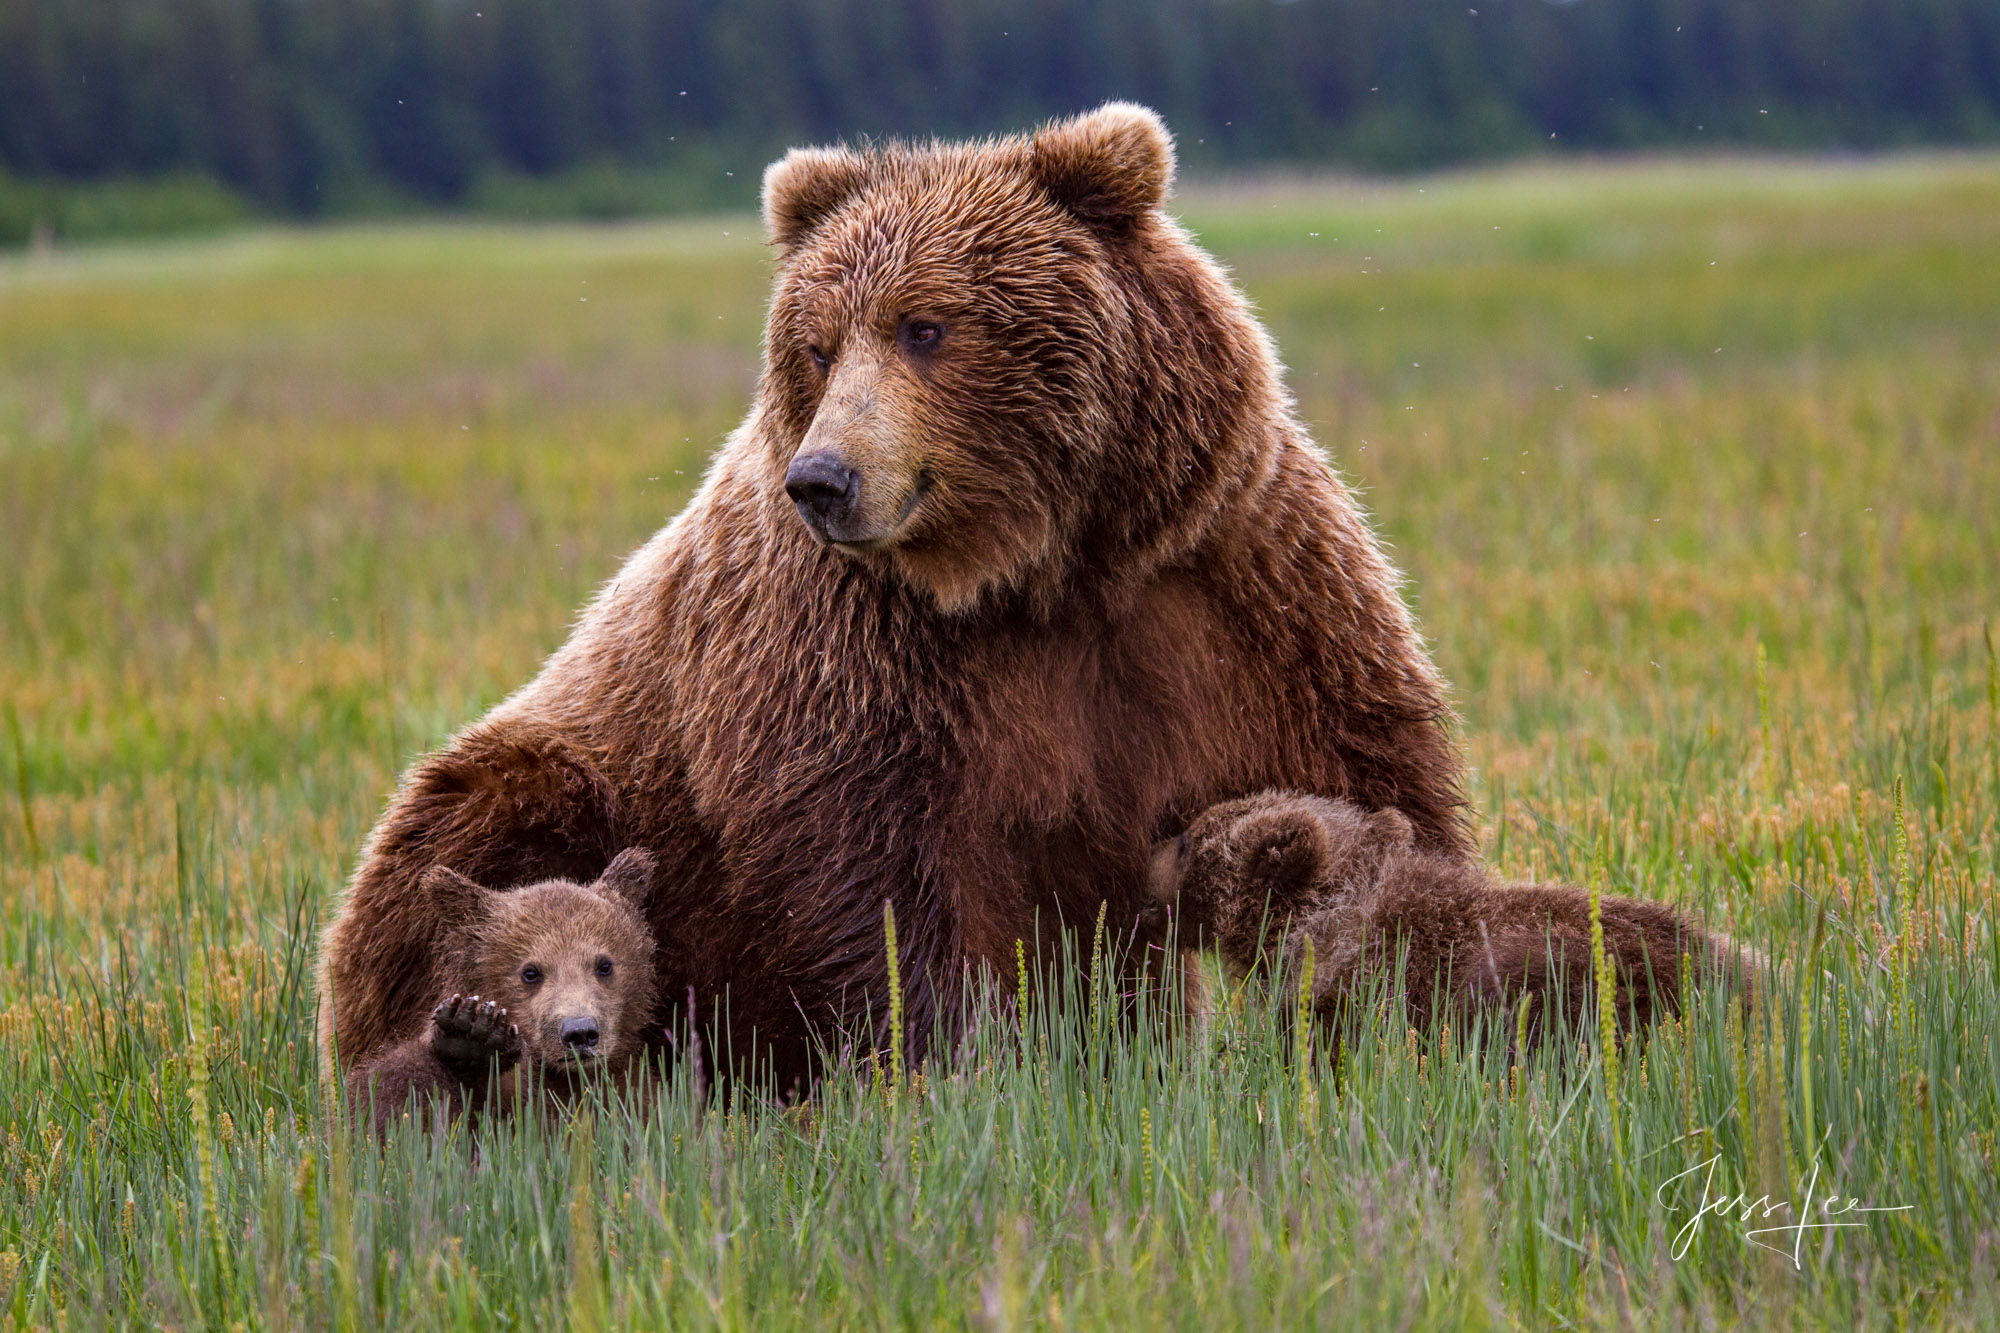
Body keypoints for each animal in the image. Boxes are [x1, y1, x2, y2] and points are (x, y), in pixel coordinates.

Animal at [312, 98, 1472, 1088]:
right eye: (818, 346)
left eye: (926, 325)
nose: (823, 479)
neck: (1038, 568)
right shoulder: (853, 650)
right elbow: (874, 877)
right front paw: (964, 1069)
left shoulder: (1228, 582)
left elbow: (1364, 768)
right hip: (568, 783)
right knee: (475, 839)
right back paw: (461, 1045)